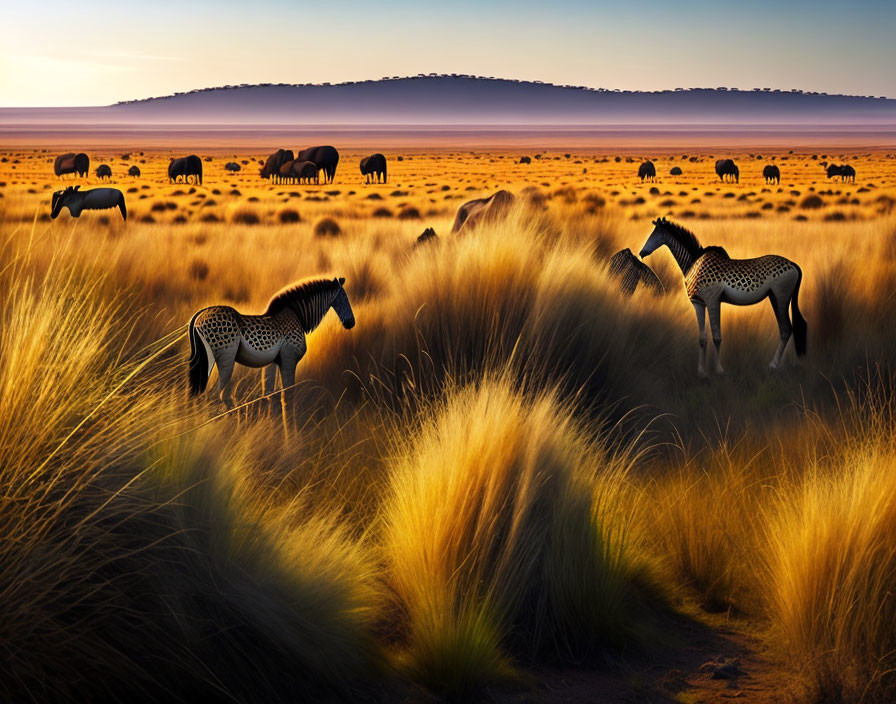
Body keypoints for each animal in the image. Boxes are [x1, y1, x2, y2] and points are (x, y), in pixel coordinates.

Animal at [188, 276, 354, 408]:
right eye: (344, 299)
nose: (351, 323)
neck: (297, 316)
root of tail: (199, 316)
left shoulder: (273, 362)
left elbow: (270, 394)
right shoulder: (289, 360)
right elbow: (288, 396)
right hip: (225, 358)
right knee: (216, 396)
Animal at [640, 217, 808, 376]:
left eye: (655, 234)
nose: (642, 253)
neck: (693, 263)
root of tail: (793, 264)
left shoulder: (713, 300)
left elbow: (717, 337)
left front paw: (719, 370)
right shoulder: (698, 303)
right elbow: (702, 338)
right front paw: (701, 372)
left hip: (781, 297)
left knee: (786, 329)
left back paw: (773, 366)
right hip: (774, 297)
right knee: (787, 328)